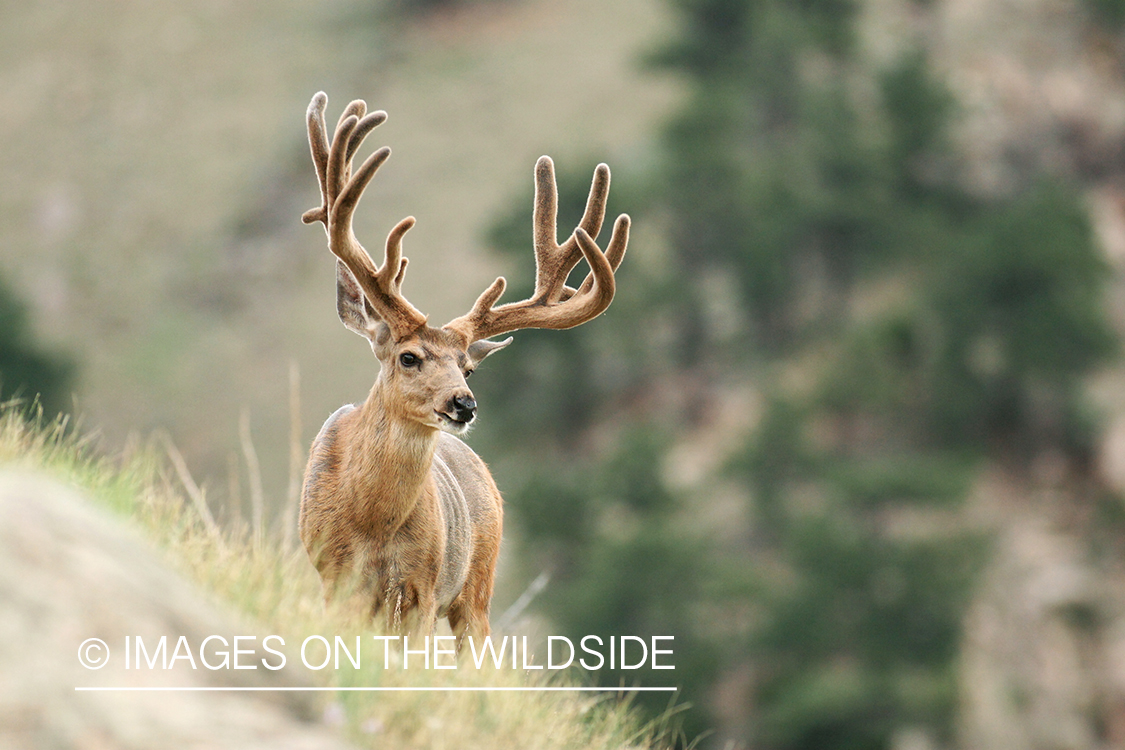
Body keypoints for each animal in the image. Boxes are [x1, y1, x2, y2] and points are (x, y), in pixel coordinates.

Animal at [297, 92, 629, 647]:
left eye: (467, 369)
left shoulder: (422, 587)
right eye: (409, 357)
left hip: (478, 583)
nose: (464, 403)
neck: (372, 524)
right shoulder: (333, 576)